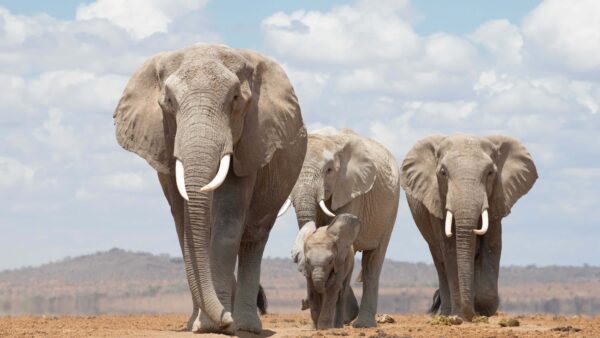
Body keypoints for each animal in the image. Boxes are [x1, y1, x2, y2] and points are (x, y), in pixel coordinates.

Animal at [112, 44, 308, 332]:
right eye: (168, 101)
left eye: (236, 98)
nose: (226, 319)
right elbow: (185, 227)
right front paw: (201, 325)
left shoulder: (249, 143)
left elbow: (228, 224)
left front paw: (219, 324)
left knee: (254, 239)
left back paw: (246, 326)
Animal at [282, 127, 398, 328]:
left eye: (329, 170)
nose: (302, 303)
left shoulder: (351, 188)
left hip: (391, 207)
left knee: (373, 261)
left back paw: (361, 323)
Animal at [398, 134, 540, 320]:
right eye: (443, 173)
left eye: (490, 173)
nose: (470, 313)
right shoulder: (436, 200)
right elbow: (450, 250)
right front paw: (461, 314)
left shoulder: (497, 198)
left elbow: (492, 247)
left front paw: (482, 307)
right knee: (440, 261)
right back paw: (446, 314)